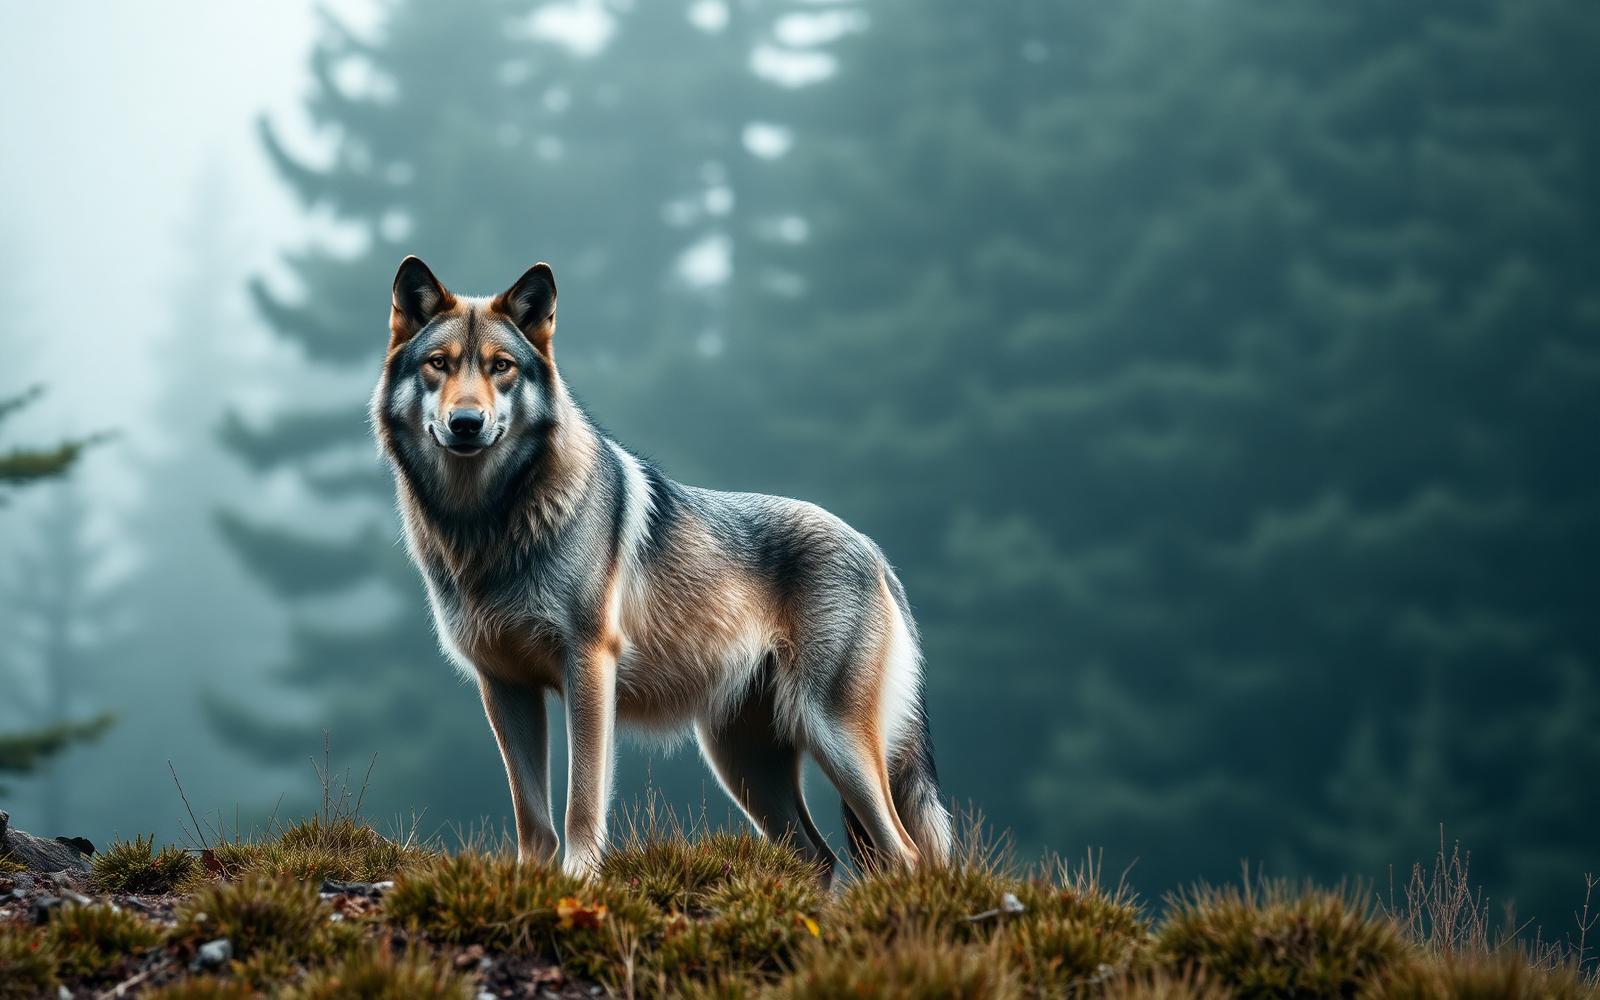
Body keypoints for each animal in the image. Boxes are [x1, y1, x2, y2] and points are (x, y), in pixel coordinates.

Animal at [371, 256, 952, 879]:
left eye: (500, 367)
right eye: (439, 364)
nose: (466, 422)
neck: (486, 521)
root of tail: (875, 550)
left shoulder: (590, 666)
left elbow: (581, 799)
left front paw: (581, 879)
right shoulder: (503, 684)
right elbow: (531, 816)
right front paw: (532, 882)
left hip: (833, 740)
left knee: (906, 852)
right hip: (743, 765)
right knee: (818, 857)